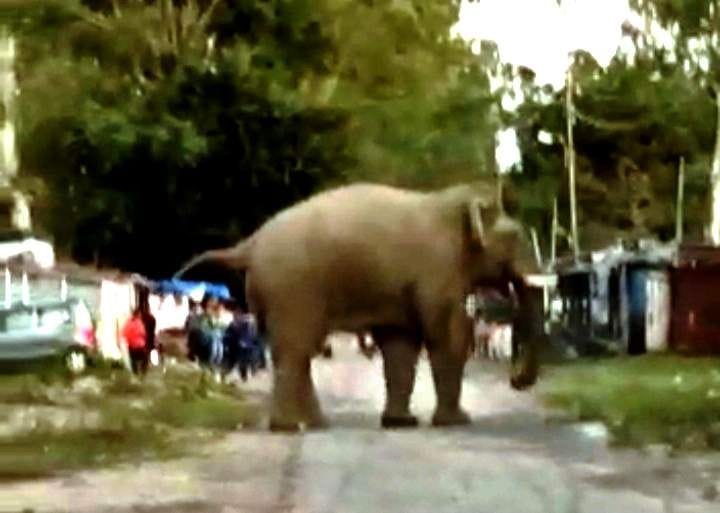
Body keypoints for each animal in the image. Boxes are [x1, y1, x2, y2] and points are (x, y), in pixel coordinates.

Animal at [175, 180, 544, 431]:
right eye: (516, 237)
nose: (515, 380)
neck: (455, 201)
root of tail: (250, 244)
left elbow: (401, 344)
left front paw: (401, 423)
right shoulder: (438, 270)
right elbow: (449, 335)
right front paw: (456, 422)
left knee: (297, 351)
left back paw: (314, 424)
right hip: (292, 287)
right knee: (296, 349)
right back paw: (291, 428)